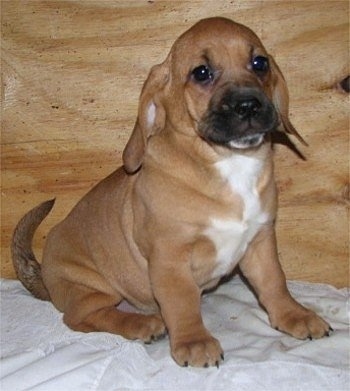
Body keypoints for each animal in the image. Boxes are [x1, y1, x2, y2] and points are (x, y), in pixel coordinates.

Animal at [12, 17, 330, 368]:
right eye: (201, 72)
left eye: (260, 64)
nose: (249, 105)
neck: (229, 164)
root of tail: (44, 274)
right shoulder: (170, 258)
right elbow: (182, 303)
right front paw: (194, 341)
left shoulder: (260, 242)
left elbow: (275, 282)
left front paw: (294, 315)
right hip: (92, 287)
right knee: (82, 317)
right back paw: (141, 324)